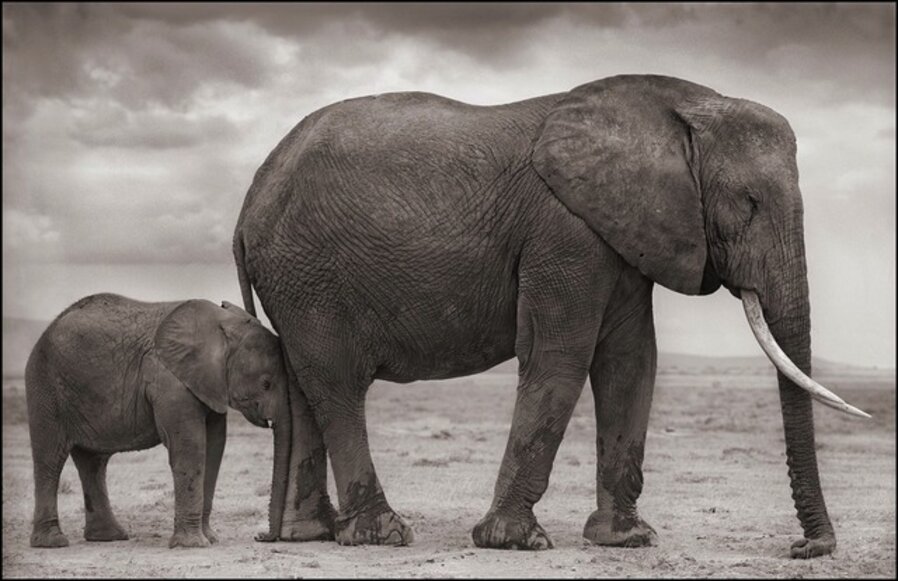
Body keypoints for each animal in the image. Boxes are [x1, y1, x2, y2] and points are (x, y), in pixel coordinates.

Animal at [25, 293, 293, 549]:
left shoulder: (210, 385)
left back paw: (108, 537)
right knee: (50, 458)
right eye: (266, 383)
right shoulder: (169, 379)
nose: (260, 536)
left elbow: (214, 448)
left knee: (93, 463)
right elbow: (190, 448)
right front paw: (192, 545)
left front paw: (209, 539)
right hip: (45, 385)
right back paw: (52, 542)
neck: (222, 324)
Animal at [232, 74, 869, 557]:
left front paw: (626, 541)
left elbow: (631, 363)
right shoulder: (564, 233)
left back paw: (310, 535)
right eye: (748, 204)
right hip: (309, 275)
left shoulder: (619, 235)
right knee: (337, 385)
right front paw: (515, 543)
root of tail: (248, 201)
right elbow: (560, 357)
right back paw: (383, 535)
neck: (680, 105)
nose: (804, 548)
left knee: (302, 388)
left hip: (296, 279)